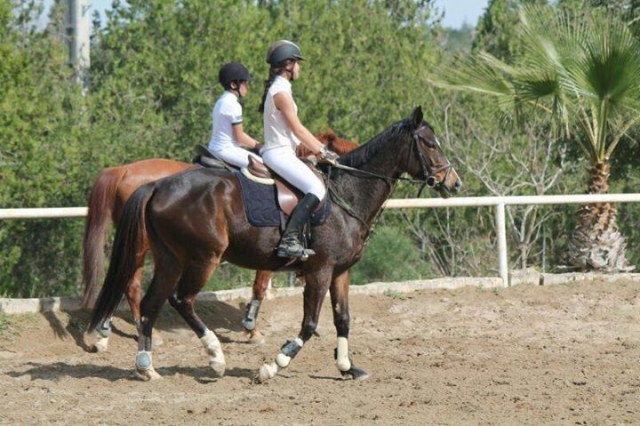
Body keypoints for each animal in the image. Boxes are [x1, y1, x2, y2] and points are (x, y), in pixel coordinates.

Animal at [81, 131, 358, 352]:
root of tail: (123, 170)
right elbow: (260, 286)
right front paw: (251, 329)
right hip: (146, 245)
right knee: (131, 283)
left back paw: (108, 329)